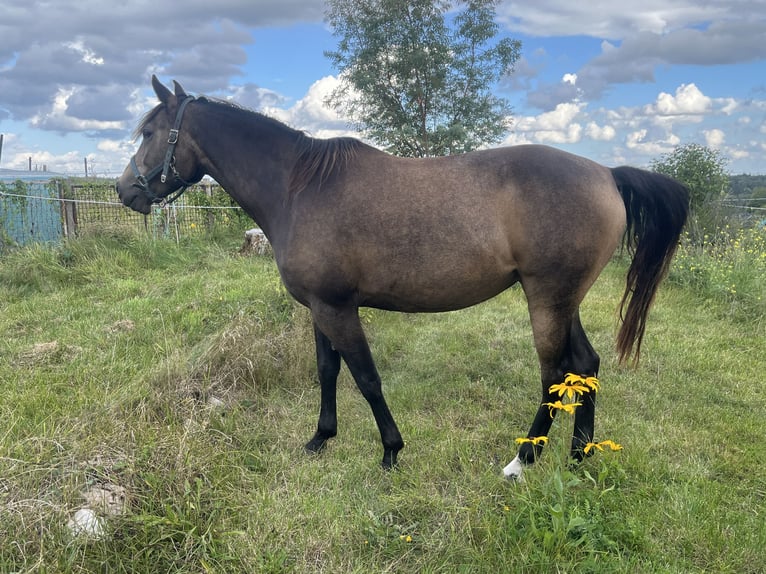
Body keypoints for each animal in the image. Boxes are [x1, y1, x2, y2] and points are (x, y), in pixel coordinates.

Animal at [117, 76, 689, 479]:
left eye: (149, 133)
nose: (125, 191)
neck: (299, 187)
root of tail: (607, 174)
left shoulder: (338, 308)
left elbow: (366, 377)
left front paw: (391, 451)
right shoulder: (320, 308)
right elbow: (328, 371)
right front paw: (320, 439)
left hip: (546, 299)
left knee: (554, 374)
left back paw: (522, 461)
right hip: (563, 300)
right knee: (585, 365)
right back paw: (578, 455)